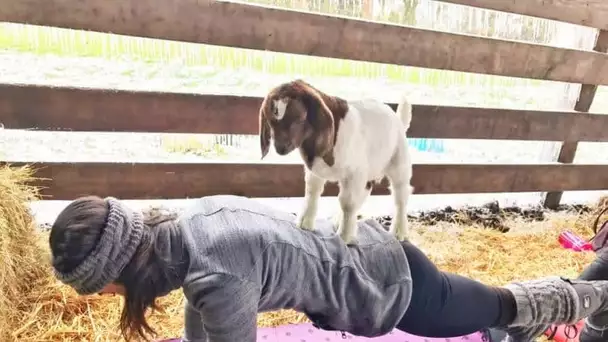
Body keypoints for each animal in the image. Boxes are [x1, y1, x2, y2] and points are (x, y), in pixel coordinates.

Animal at [258, 79, 414, 246]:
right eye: (270, 120)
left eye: (299, 118)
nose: (280, 148)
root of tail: (398, 119)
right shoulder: (316, 170)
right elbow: (313, 191)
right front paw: (305, 223)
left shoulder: (354, 172)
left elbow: (348, 202)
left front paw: (344, 237)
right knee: (365, 191)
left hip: (399, 163)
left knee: (400, 196)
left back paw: (399, 232)